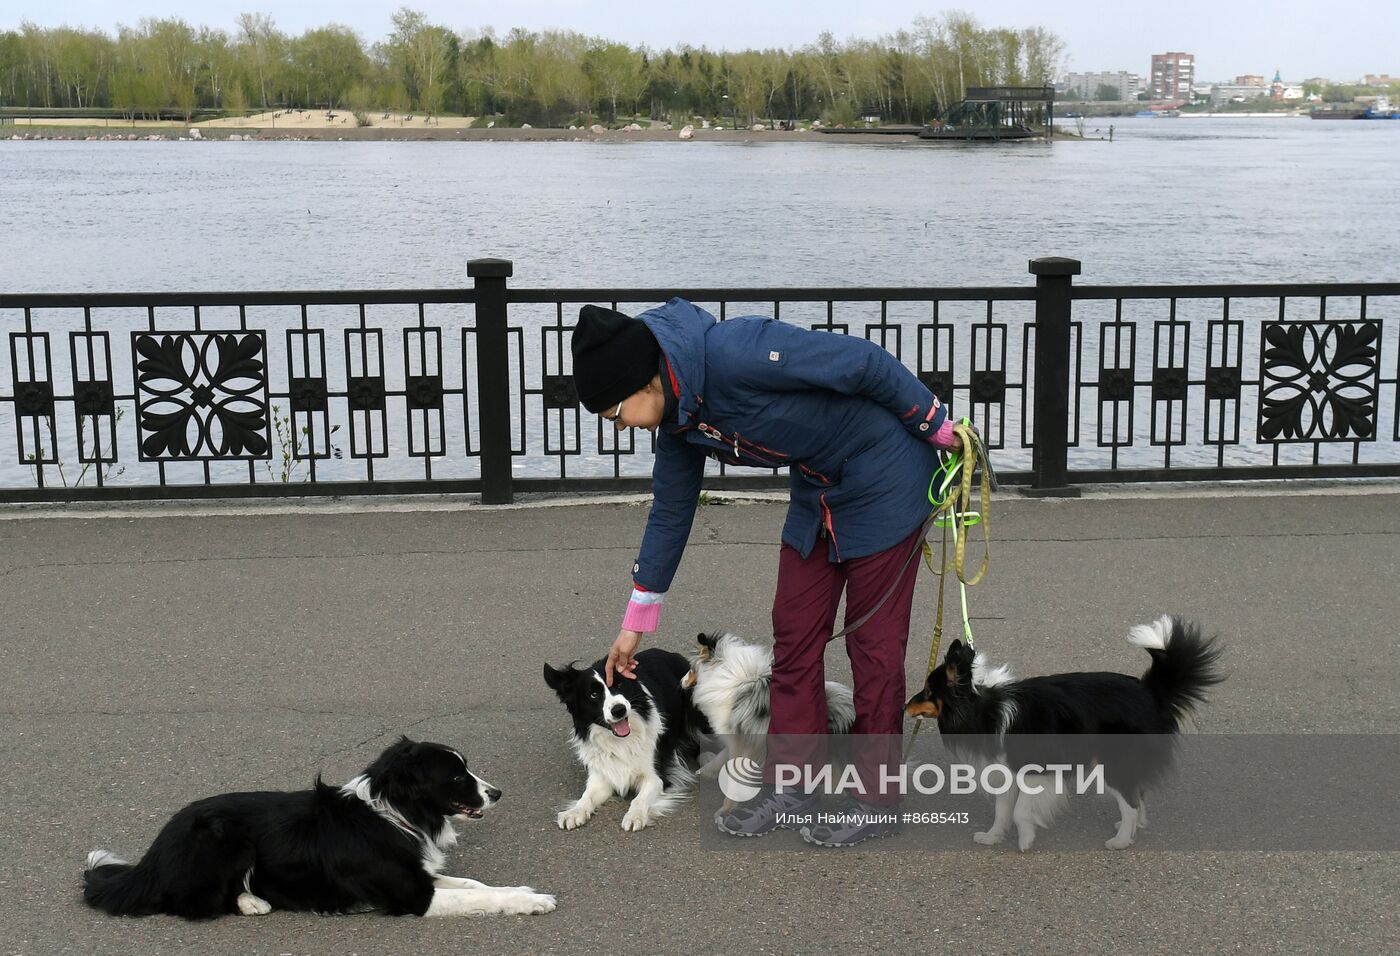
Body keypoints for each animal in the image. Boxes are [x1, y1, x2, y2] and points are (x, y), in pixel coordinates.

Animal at [83, 739, 557, 918]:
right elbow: (474, 897)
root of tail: (152, 857)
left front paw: (523, 890)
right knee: (194, 903)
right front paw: (530, 902)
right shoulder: (410, 894)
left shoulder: (418, 872)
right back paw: (252, 902)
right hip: (222, 835)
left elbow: (475, 885)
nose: (497, 793)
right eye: (457, 776)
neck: (396, 812)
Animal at [543, 649, 716, 828]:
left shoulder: (656, 777)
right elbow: (587, 796)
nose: (619, 710)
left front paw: (635, 816)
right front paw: (574, 812)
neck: (620, 741)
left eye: (619, 685)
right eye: (593, 695)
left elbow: (639, 799)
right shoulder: (601, 775)